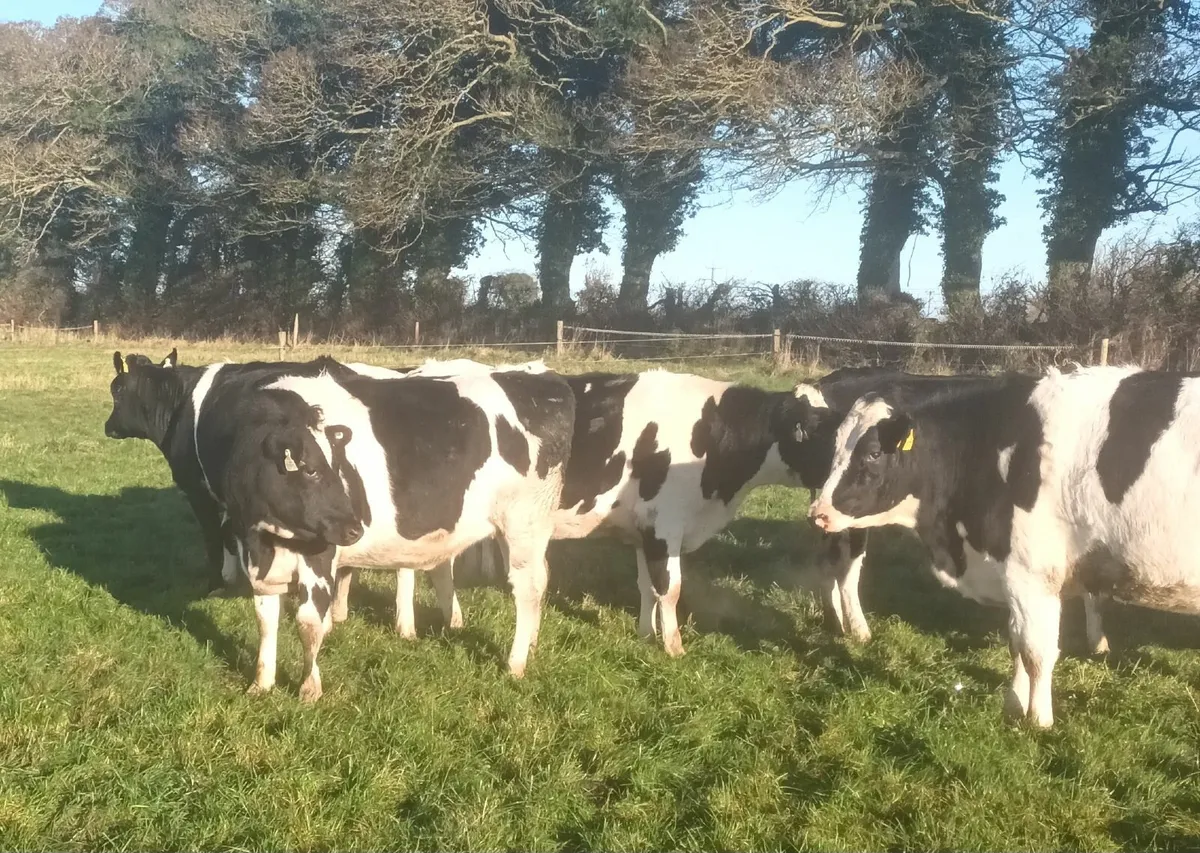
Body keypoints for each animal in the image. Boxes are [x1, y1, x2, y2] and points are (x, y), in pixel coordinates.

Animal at [806, 365, 1200, 727]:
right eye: (835, 447)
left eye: (873, 453)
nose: (818, 513)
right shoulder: (1010, 573)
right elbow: (1016, 644)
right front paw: (1014, 704)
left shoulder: (1033, 573)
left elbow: (1036, 651)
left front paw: (1039, 721)